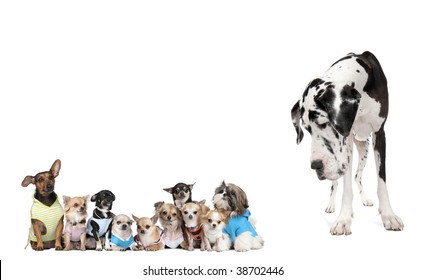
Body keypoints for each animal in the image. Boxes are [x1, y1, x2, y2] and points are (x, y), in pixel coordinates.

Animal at [292, 51, 404, 235]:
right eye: (307, 129)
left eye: (324, 123)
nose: (315, 166)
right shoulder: (347, 140)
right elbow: (345, 187)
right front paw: (344, 218)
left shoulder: (379, 132)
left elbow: (381, 180)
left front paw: (388, 215)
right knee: (336, 183)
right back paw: (332, 203)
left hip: (364, 148)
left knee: (358, 176)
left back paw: (365, 199)